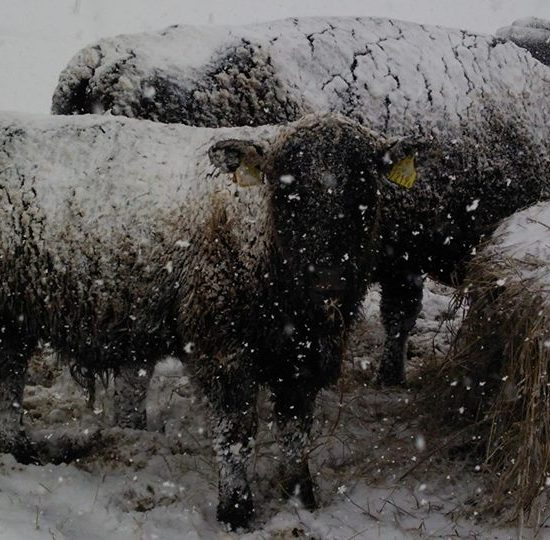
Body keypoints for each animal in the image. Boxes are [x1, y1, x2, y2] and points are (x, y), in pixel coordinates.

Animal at [0, 110, 392, 528]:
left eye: (364, 190)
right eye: (288, 191)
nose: (329, 279)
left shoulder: (302, 356)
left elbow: (295, 429)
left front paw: (301, 497)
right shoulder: (222, 348)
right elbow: (236, 432)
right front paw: (235, 510)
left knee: (10, 379)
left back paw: (17, 446)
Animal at [51, 15, 550, 384]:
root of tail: (98, 67)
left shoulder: (399, 255)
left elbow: (397, 317)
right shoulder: (399, 256)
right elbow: (398, 318)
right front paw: (387, 377)